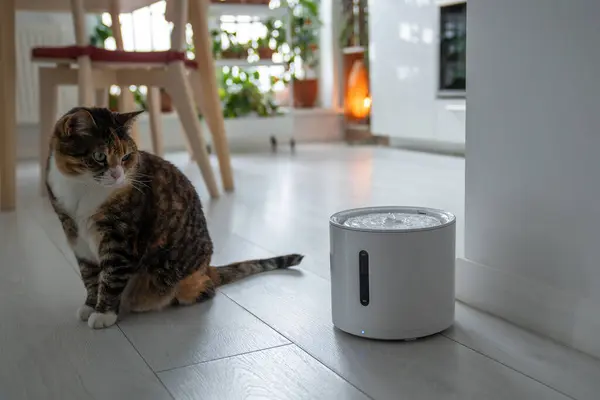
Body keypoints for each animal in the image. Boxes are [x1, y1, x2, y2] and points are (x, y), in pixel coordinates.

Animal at [45, 106, 304, 328]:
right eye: (99, 156)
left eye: (126, 156)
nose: (117, 175)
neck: (82, 190)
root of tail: (207, 268)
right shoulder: (74, 234)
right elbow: (89, 275)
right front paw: (90, 305)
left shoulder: (120, 237)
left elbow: (111, 276)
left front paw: (103, 314)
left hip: (182, 280)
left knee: (205, 290)